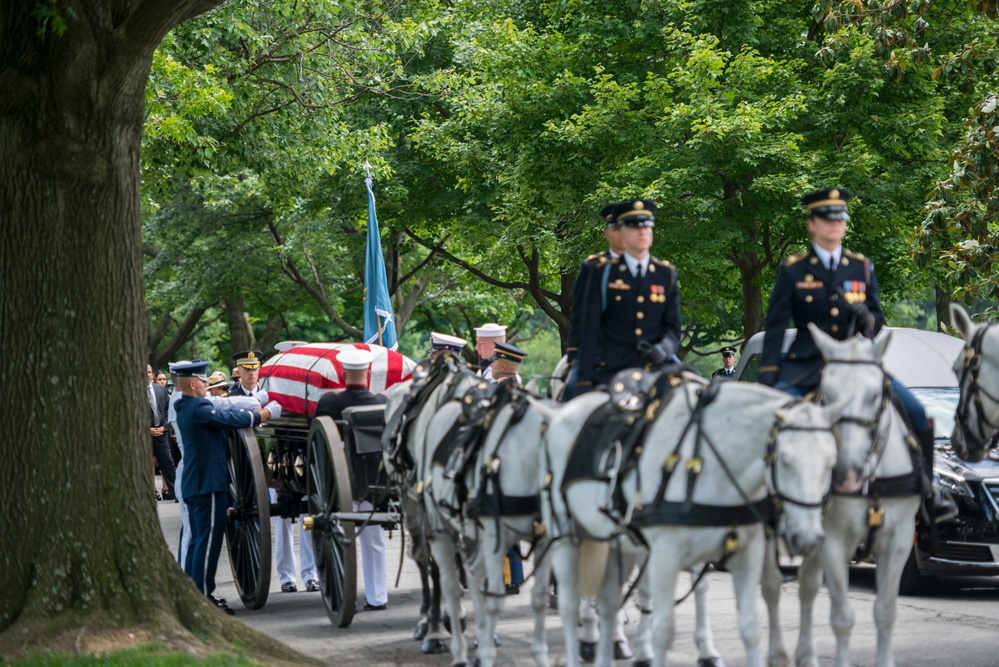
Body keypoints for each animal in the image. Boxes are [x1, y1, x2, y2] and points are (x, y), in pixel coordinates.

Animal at [422, 380, 560, 667]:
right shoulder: (497, 540)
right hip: (441, 532)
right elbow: (495, 600)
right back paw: (457, 650)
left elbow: (539, 598)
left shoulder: (542, 541)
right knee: (451, 587)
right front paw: (485, 656)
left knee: (474, 580)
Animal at [544, 370, 840, 667]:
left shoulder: (745, 555)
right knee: (570, 604)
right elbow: (663, 629)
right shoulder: (664, 557)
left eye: (831, 462)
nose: (807, 539)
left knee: (608, 602)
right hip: (567, 537)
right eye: (785, 460)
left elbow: (750, 626)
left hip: (619, 545)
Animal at [764, 328, 920, 667]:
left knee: (807, 586)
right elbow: (843, 617)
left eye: (875, 394)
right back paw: (777, 654)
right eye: (828, 394)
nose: (847, 474)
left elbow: (886, 611)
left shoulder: (899, 540)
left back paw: (806, 655)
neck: (873, 480)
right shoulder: (833, 540)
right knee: (771, 586)